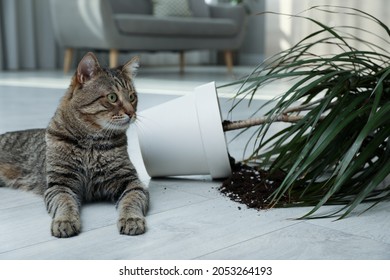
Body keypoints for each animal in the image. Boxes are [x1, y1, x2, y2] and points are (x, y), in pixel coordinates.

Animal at [0, 51, 149, 237]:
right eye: (112, 97)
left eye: (132, 97)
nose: (131, 113)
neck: (92, 143)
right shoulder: (60, 184)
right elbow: (65, 203)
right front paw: (65, 220)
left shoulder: (130, 181)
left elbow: (131, 200)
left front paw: (131, 219)